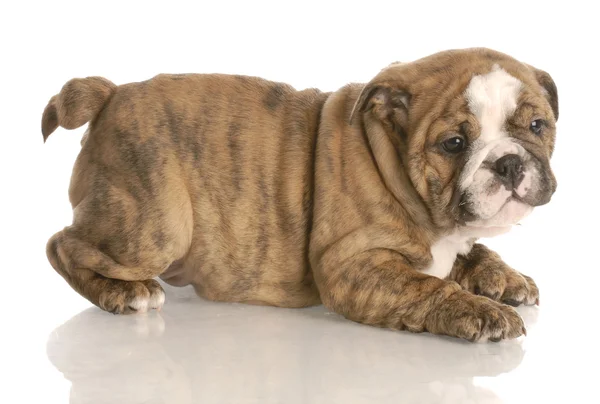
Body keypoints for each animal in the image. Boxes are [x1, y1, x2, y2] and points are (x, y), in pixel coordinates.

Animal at [42, 49, 556, 342]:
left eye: (537, 125)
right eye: (453, 144)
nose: (509, 163)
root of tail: (112, 94)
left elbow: (474, 252)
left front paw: (504, 278)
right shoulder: (352, 266)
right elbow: (429, 286)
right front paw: (481, 311)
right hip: (156, 226)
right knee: (62, 245)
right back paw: (122, 292)